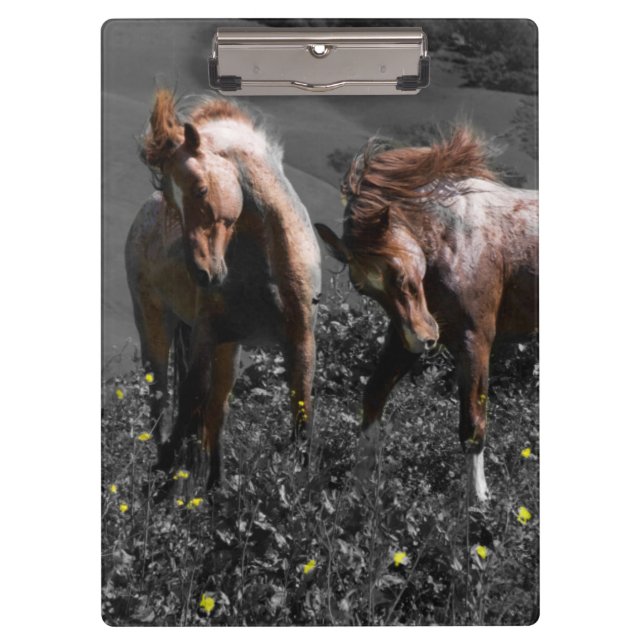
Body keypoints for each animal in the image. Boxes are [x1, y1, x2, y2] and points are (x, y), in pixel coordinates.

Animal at [126, 90, 321, 489]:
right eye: (172, 202)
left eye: (201, 189)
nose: (203, 274)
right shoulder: (204, 334)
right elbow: (188, 402)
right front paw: (168, 480)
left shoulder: (301, 341)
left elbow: (301, 417)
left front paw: (302, 487)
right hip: (156, 327)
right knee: (161, 405)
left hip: (229, 348)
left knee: (217, 410)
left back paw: (216, 485)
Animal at [315, 127, 538, 503]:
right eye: (363, 289)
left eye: (397, 273)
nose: (426, 340)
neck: (456, 241)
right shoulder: (401, 339)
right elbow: (373, 396)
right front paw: (357, 489)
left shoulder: (475, 343)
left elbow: (472, 423)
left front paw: (478, 501)